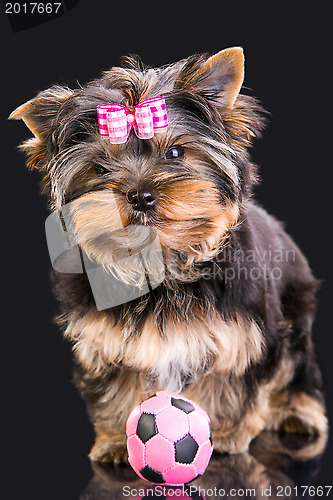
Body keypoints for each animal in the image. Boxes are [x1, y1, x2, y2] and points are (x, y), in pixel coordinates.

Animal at [11, 47, 326, 460]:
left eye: (176, 152)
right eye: (99, 168)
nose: (140, 195)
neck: (162, 260)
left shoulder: (241, 332)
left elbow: (231, 379)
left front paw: (223, 434)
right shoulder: (106, 340)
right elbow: (118, 384)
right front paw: (117, 440)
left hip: (296, 306)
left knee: (297, 363)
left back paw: (296, 412)